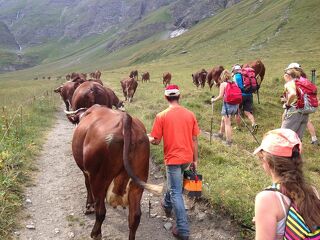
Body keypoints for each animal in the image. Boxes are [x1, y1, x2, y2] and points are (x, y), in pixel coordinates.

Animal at [70, 105, 160, 240]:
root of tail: (126, 120)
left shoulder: (87, 172)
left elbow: (87, 185)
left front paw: (89, 206)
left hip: (99, 178)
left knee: (101, 211)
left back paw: (95, 233)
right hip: (138, 181)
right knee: (135, 216)